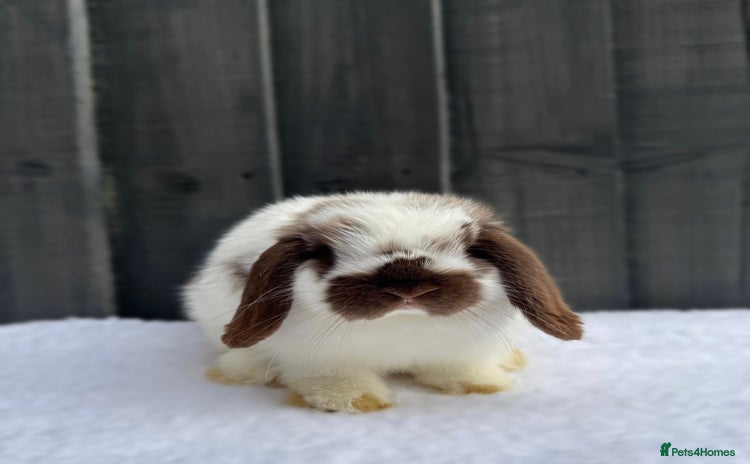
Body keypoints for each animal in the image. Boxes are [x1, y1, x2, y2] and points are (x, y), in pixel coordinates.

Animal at [182, 191, 583, 413]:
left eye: (471, 249)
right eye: (324, 254)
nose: (407, 288)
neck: (401, 327)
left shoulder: (458, 354)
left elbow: (459, 371)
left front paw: (483, 387)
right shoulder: (322, 364)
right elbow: (339, 384)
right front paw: (360, 404)